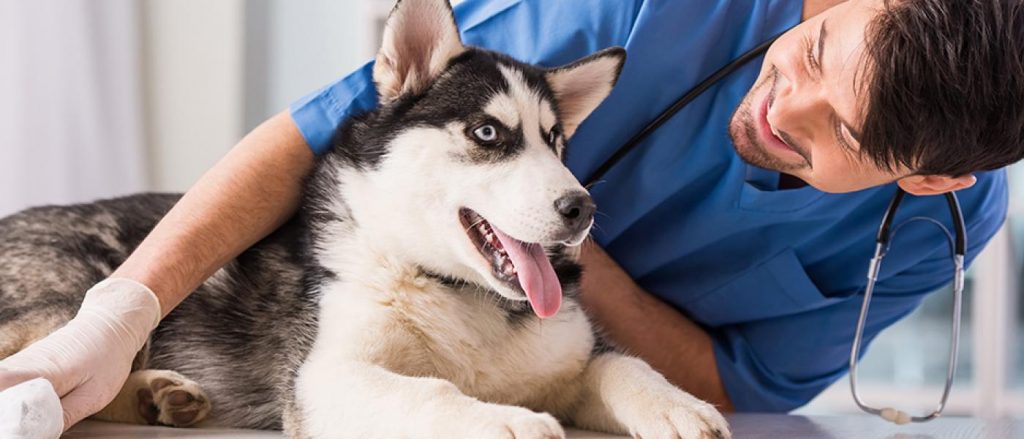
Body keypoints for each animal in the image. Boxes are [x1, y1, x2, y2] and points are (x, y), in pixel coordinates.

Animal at [0, 0, 729, 433]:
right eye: (488, 133)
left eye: (556, 143)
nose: (582, 208)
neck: (459, 295)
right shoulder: (322, 378)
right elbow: (428, 392)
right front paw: (504, 420)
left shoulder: (574, 354)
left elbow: (623, 365)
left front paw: (677, 403)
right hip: (70, 301)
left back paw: (160, 395)